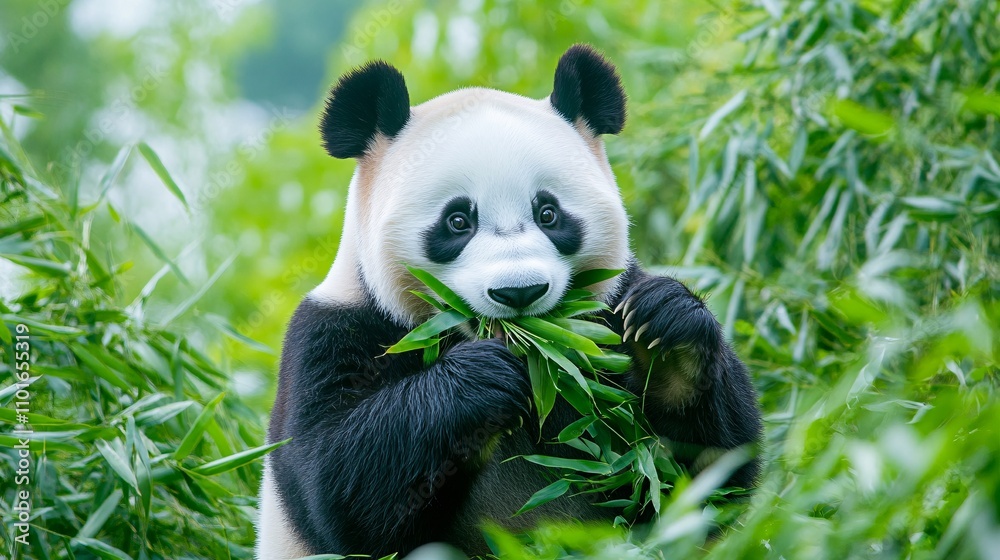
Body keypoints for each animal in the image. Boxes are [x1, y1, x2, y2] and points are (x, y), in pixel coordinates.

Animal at [256, 44, 763, 559]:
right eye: (458, 221)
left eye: (548, 213)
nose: (519, 292)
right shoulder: (337, 334)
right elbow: (339, 493)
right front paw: (481, 378)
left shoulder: (606, 313)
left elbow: (699, 475)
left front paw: (666, 331)